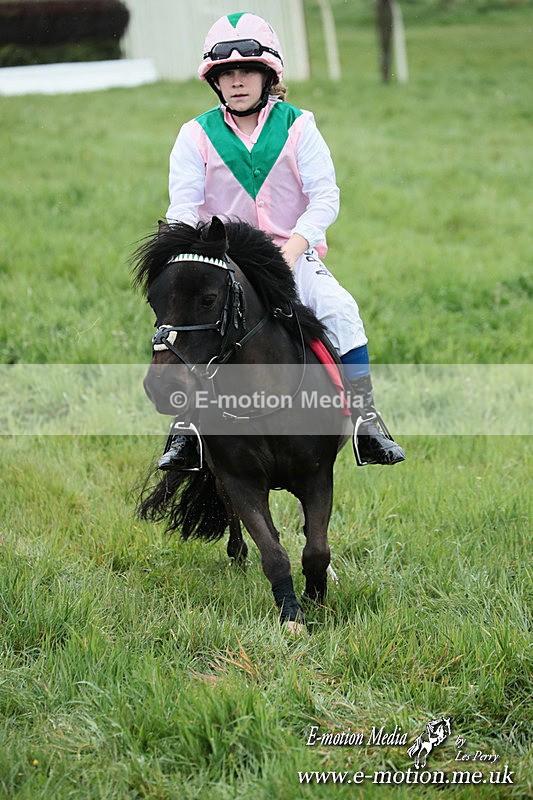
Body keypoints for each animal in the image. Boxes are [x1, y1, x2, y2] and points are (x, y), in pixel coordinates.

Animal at [133, 216, 351, 629]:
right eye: (154, 300)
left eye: (207, 299)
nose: (163, 387)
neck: (263, 397)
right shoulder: (240, 479)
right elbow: (272, 551)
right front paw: (292, 615)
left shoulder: (317, 473)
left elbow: (316, 547)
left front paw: (316, 598)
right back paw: (237, 554)